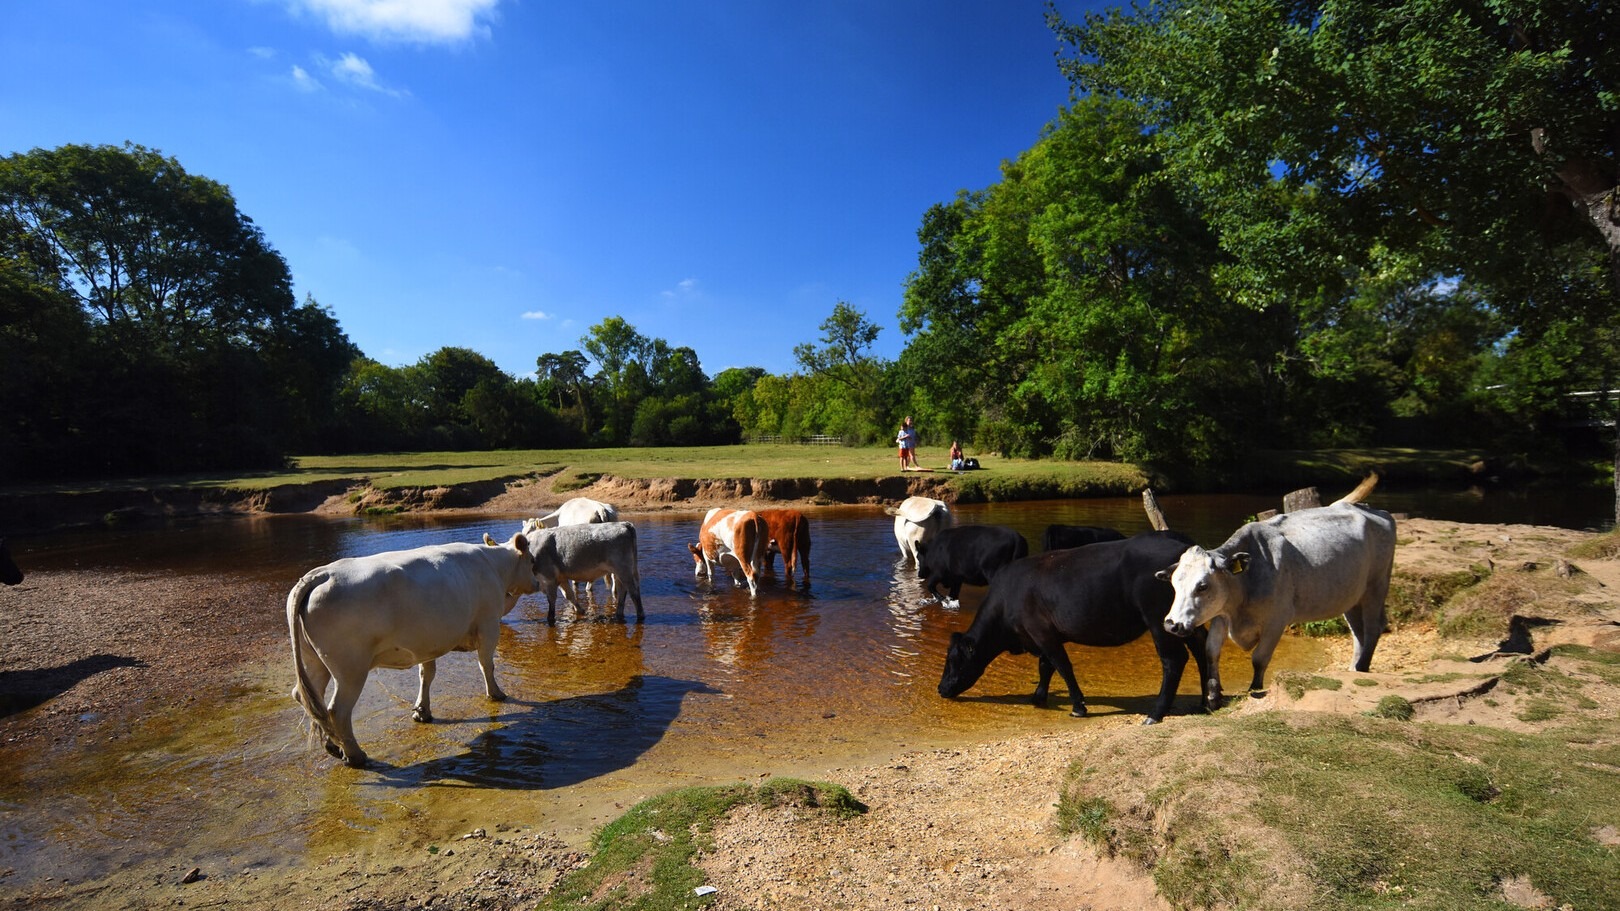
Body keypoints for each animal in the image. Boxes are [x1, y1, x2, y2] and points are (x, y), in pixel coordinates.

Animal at [286, 532, 541, 768]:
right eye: (531, 561)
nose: (538, 583)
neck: (494, 565)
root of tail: (322, 574)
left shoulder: (428, 642)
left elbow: (426, 675)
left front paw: (422, 711)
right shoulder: (489, 625)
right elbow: (487, 664)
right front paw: (496, 693)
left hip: (315, 661)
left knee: (310, 698)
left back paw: (333, 745)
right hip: (350, 669)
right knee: (337, 710)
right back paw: (354, 755)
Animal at [938, 531, 1213, 724]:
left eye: (954, 660)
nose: (941, 689)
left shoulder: (1041, 632)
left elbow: (1062, 666)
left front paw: (1078, 706)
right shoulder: (1044, 635)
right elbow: (1046, 666)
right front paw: (1038, 697)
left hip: (1158, 620)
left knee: (1174, 660)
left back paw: (1156, 713)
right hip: (1185, 621)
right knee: (1203, 647)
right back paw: (1207, 701)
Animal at [1159, 474, 1395, 707]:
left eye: (1202, 586)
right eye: (1174, 584)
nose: (1172, 624)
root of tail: (1369, 509)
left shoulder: (1277, 619)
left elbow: (1259, 658)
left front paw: (1254, 688)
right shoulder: (1221, 614)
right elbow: (1211, 651)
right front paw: (1213, 696)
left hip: (1376, 586)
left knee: (1373, 627)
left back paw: (1362, 667)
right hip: (1352, 597)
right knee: (1359, 633)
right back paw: (1354, 669)